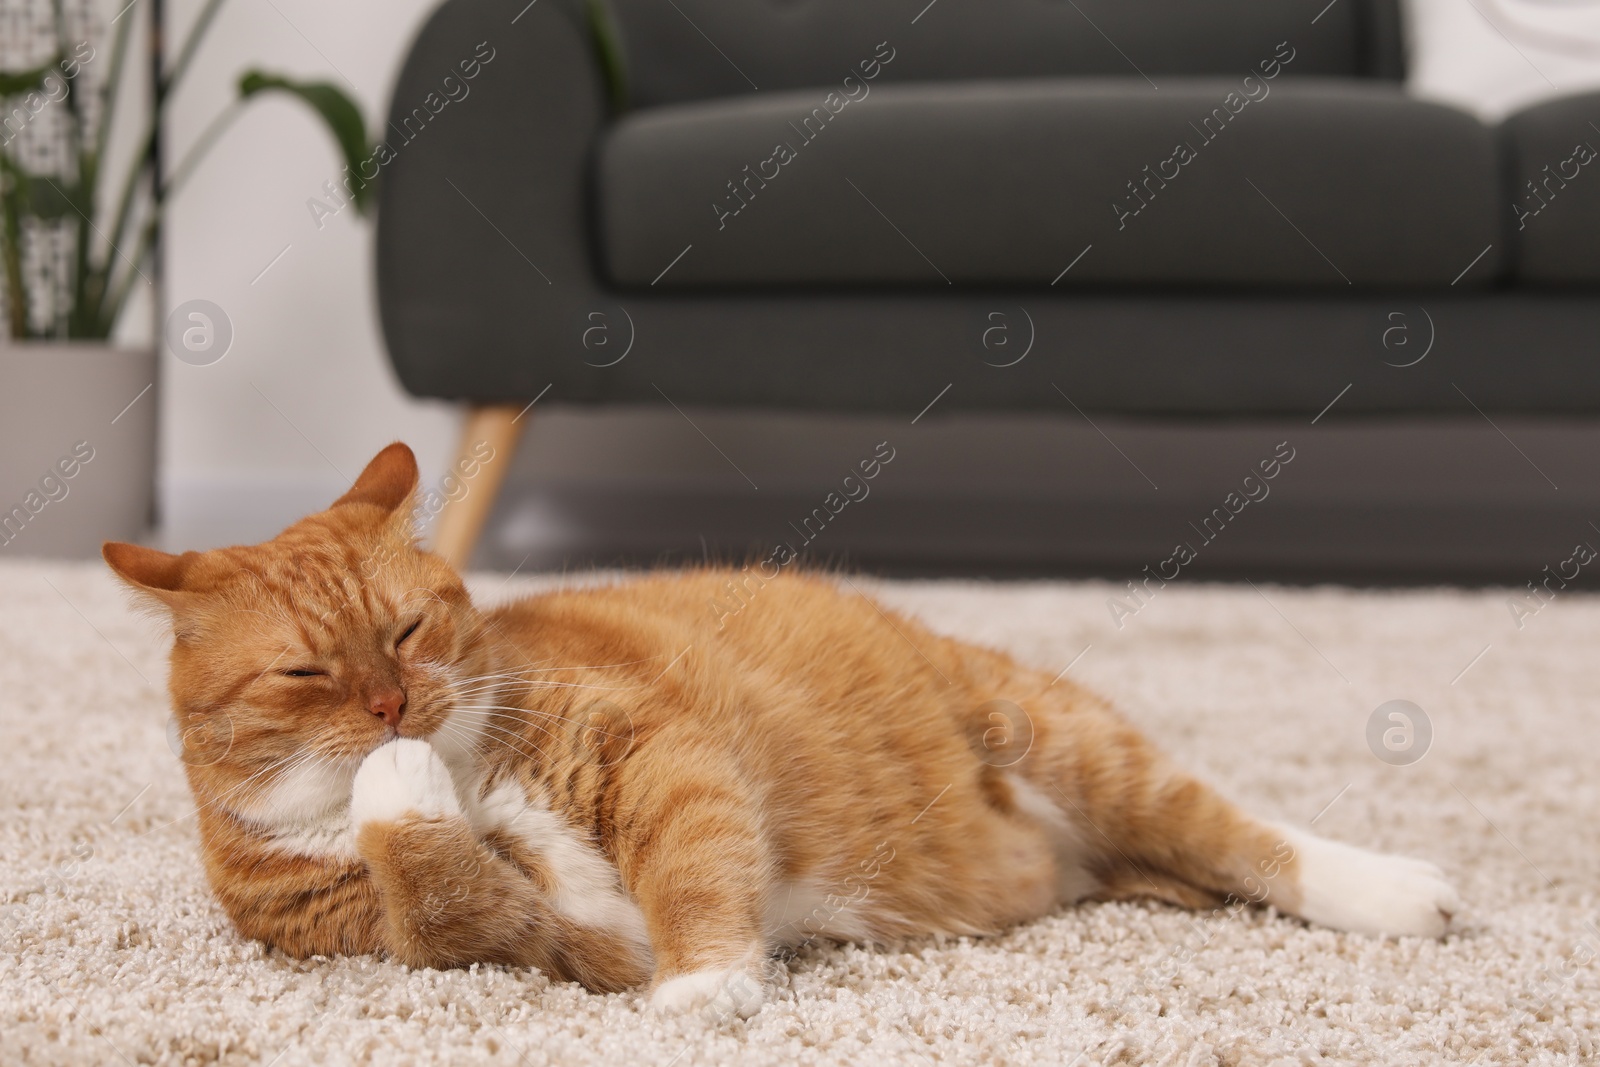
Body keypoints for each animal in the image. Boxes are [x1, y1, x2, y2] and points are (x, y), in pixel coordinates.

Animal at [106, 441, 1465, 1017]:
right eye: (302, 669)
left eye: (402, 630)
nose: (391, 707)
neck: (474, 771)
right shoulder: (552, 940)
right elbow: (450, 897)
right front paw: (399, 794)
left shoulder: (660, 760)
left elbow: (692, 864)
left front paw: (710, 984)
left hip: (1068, 737)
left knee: (1247, 837)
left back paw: (1402, 891)